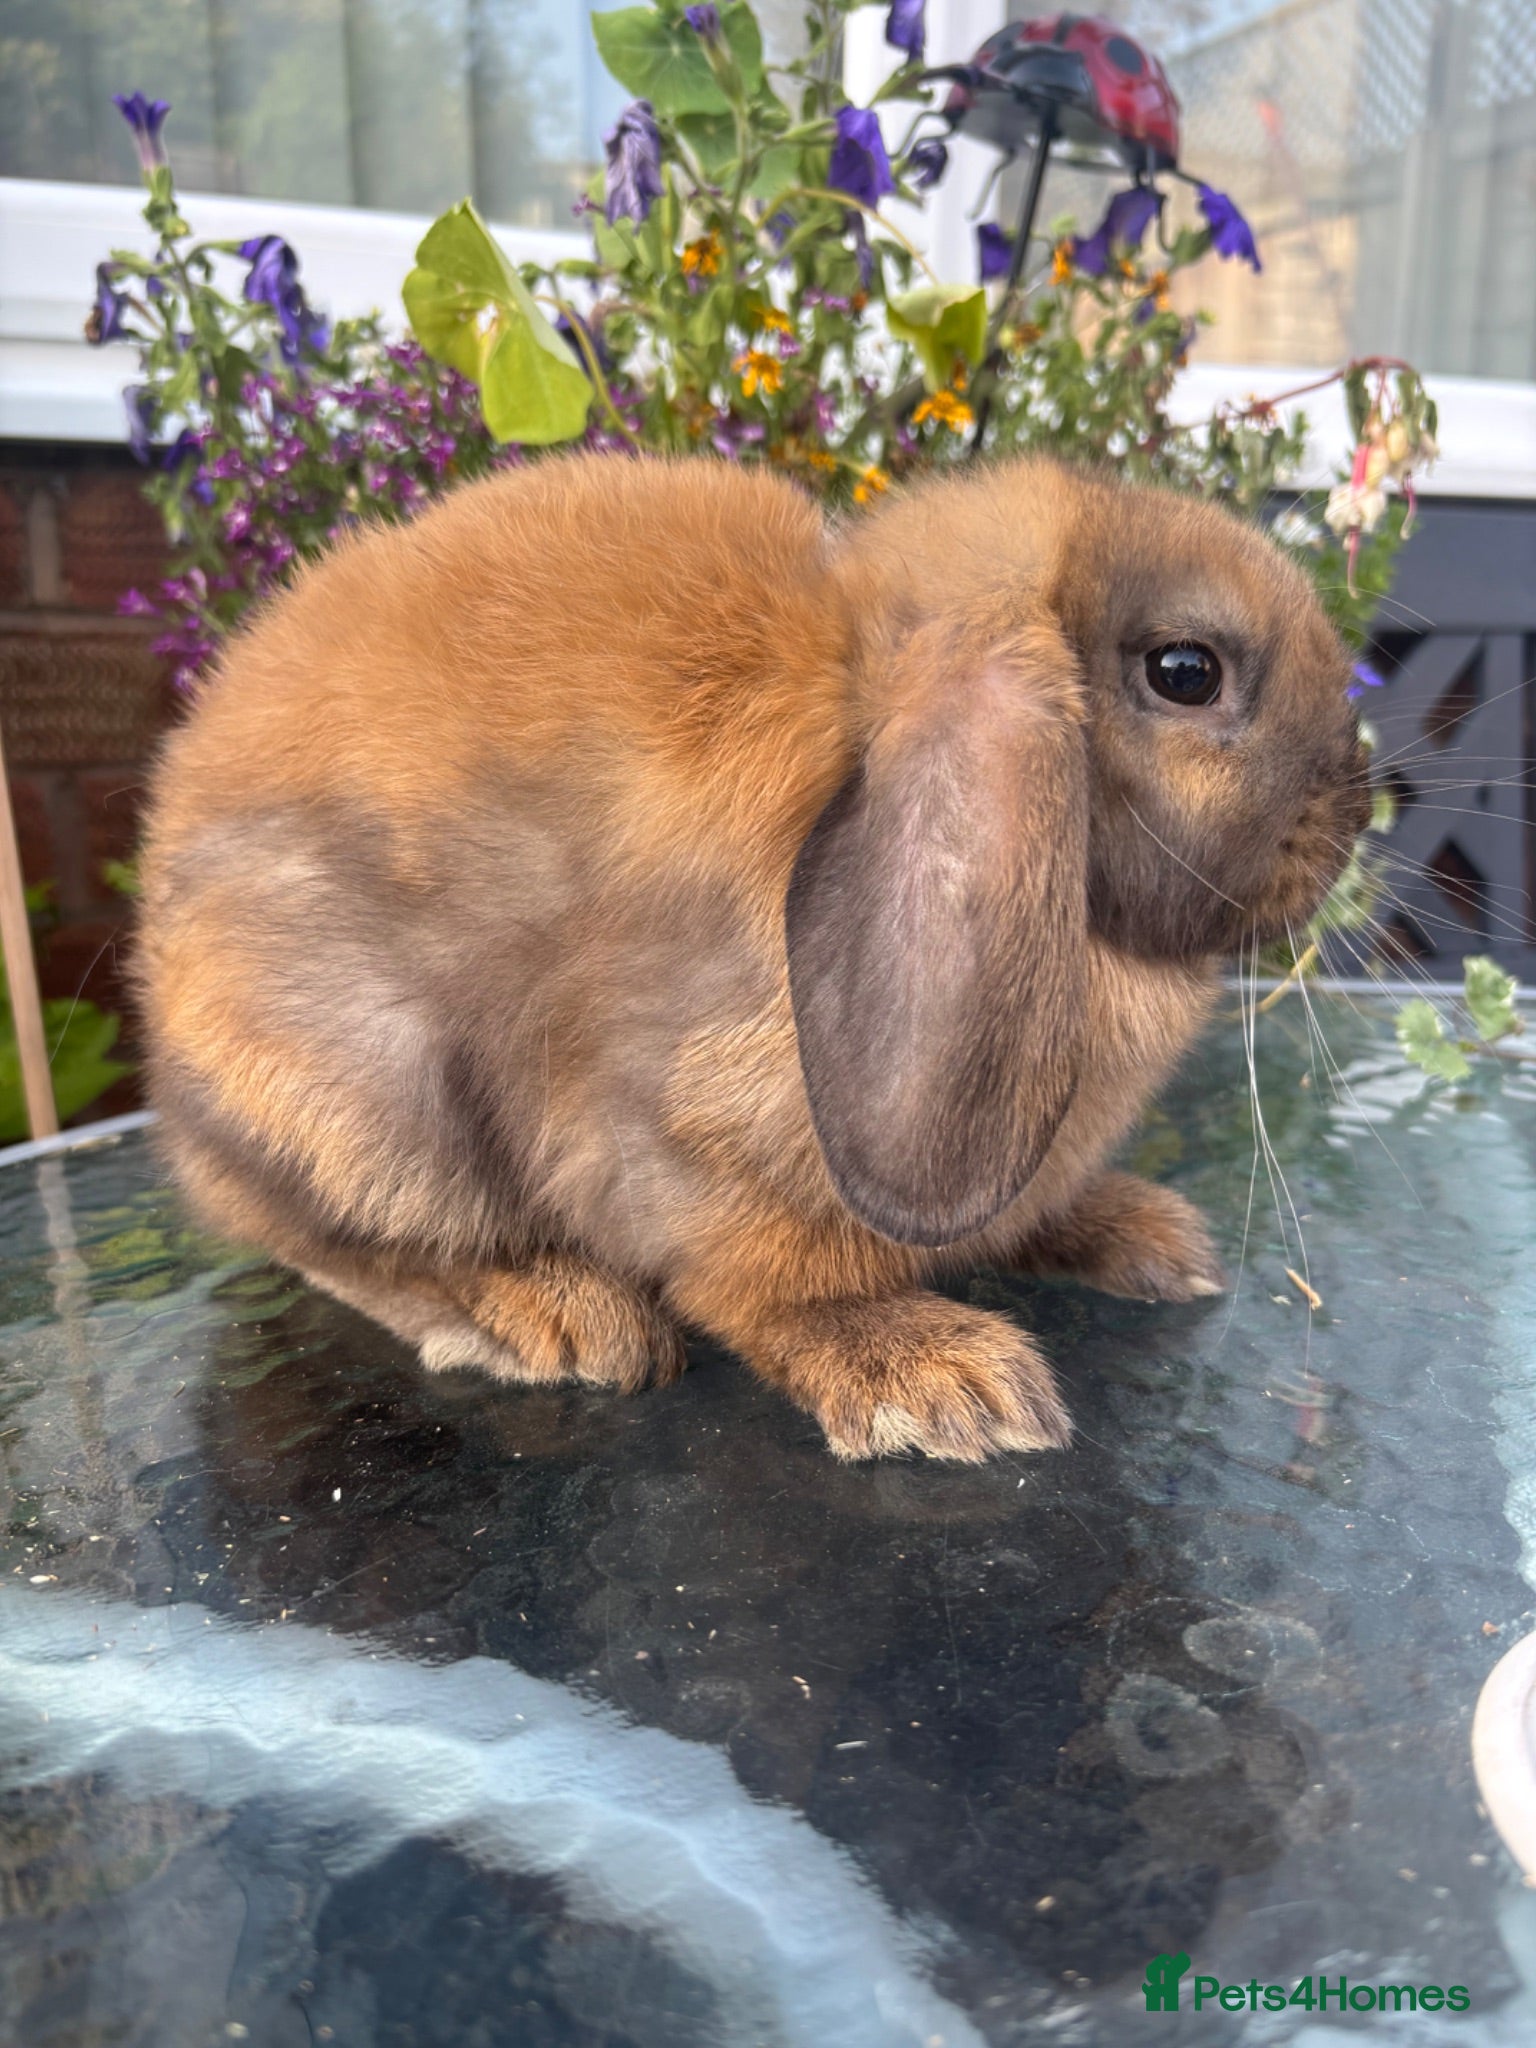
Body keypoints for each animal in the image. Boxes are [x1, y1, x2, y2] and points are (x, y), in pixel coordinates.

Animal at [136, 452, 1370, 1462]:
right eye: (1185, 670)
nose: (1360, 804)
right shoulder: (680, 1134)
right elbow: (768, 1287)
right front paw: (937, 1378)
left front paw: (1145, 1237)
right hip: (368, 1102)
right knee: (331, 1242)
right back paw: (552, 1316)